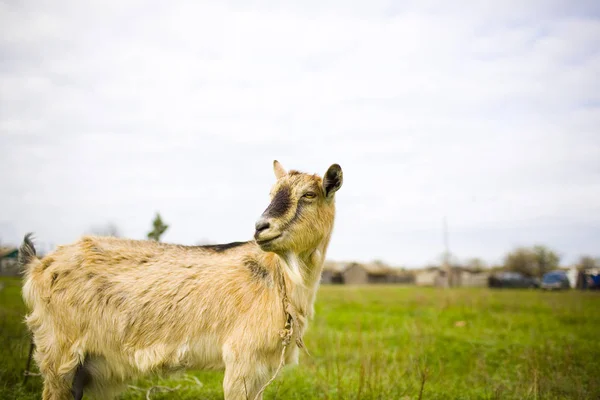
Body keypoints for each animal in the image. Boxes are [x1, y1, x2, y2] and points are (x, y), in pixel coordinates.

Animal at [19, 160, 342, 400]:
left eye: (309, 195)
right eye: (271, 193)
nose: (262, 227)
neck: (279, 280)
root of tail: (39, 264)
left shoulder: (261, 368)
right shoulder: (241, 360)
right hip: (58, 353)